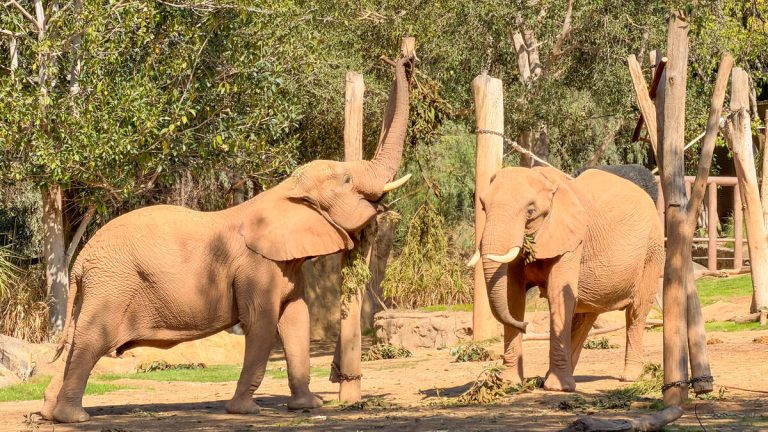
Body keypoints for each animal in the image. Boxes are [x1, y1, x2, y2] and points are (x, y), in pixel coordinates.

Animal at [41, 52, 415, 423]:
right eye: (348, 180)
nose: (404, 60)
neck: (283, 192)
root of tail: (80, 262)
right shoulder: (256, 267)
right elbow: (262, 324)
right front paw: (245, 410)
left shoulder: (286, 266)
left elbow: (296, 320)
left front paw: (309, 406)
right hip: (112, 284)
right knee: (92, 341)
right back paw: (73, 418)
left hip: (101, 286)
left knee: (75, 341)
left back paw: (48, 413)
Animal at [468, 166, 664, 392]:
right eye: (483, 206)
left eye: (530, 211)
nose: (525, 326)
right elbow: (512, 298)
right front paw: (508, 383)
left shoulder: (573, 242)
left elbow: (557, 295)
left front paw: (556, 389)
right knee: (586, 315)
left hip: (652, 252)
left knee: (636, 312)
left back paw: (629, 377)